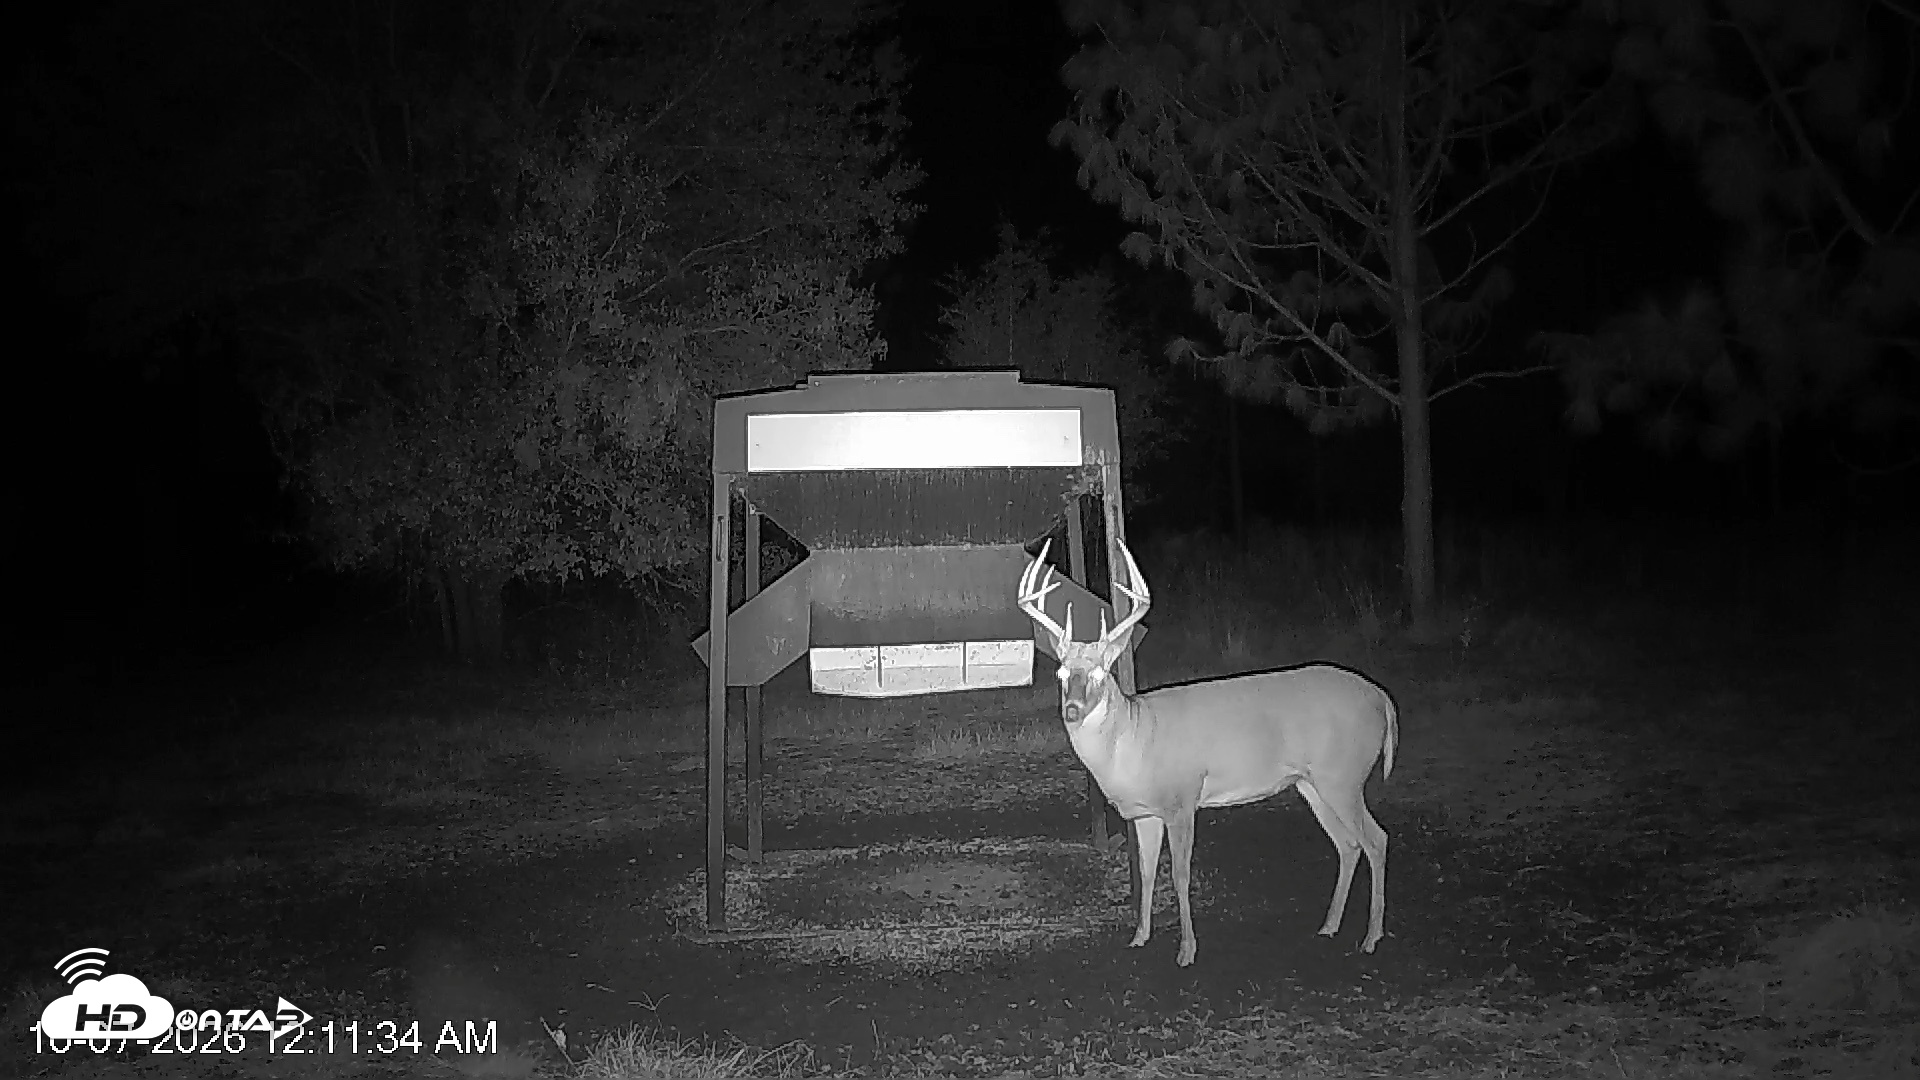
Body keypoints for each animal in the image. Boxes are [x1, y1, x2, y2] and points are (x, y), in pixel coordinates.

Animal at [1018, 539, 1398, 967]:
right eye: (1062, 674)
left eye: (1101, 673)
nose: (1072, 710)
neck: (1133, 741)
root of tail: (1382, 699)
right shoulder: (1146, 813)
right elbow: (1147, 872)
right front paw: (1139, 937)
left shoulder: (1182, 799)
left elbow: (1180, 875)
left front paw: (1186, 951)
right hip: (1312, 783)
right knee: (1348, 844)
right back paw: (1329, 926)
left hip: (1345, 776)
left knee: (1377, 839)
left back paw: (1371, 937)